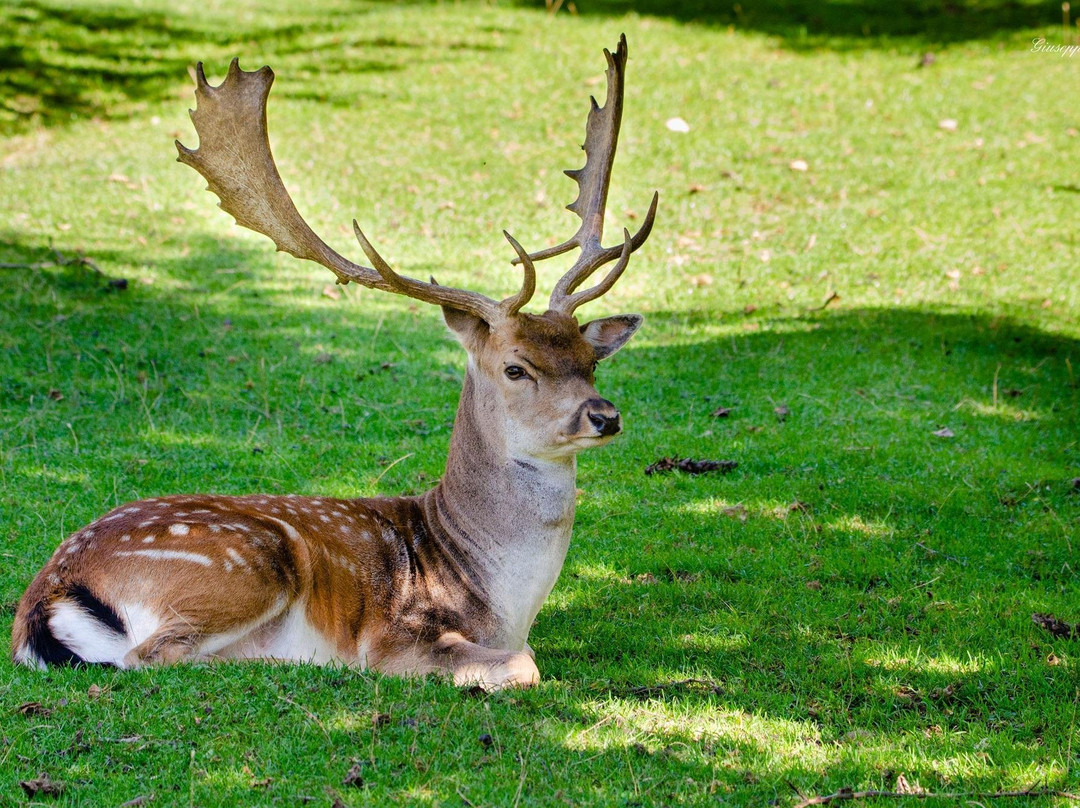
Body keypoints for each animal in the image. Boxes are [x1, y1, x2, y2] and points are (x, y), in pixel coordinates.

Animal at [12, 36, 656, 687]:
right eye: (516, 367)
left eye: (590, 361)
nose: (604, 415)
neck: (500, 600)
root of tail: (46, 598)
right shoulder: (397, 636)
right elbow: (524, 665)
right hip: (247, 564)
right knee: (154, 654)